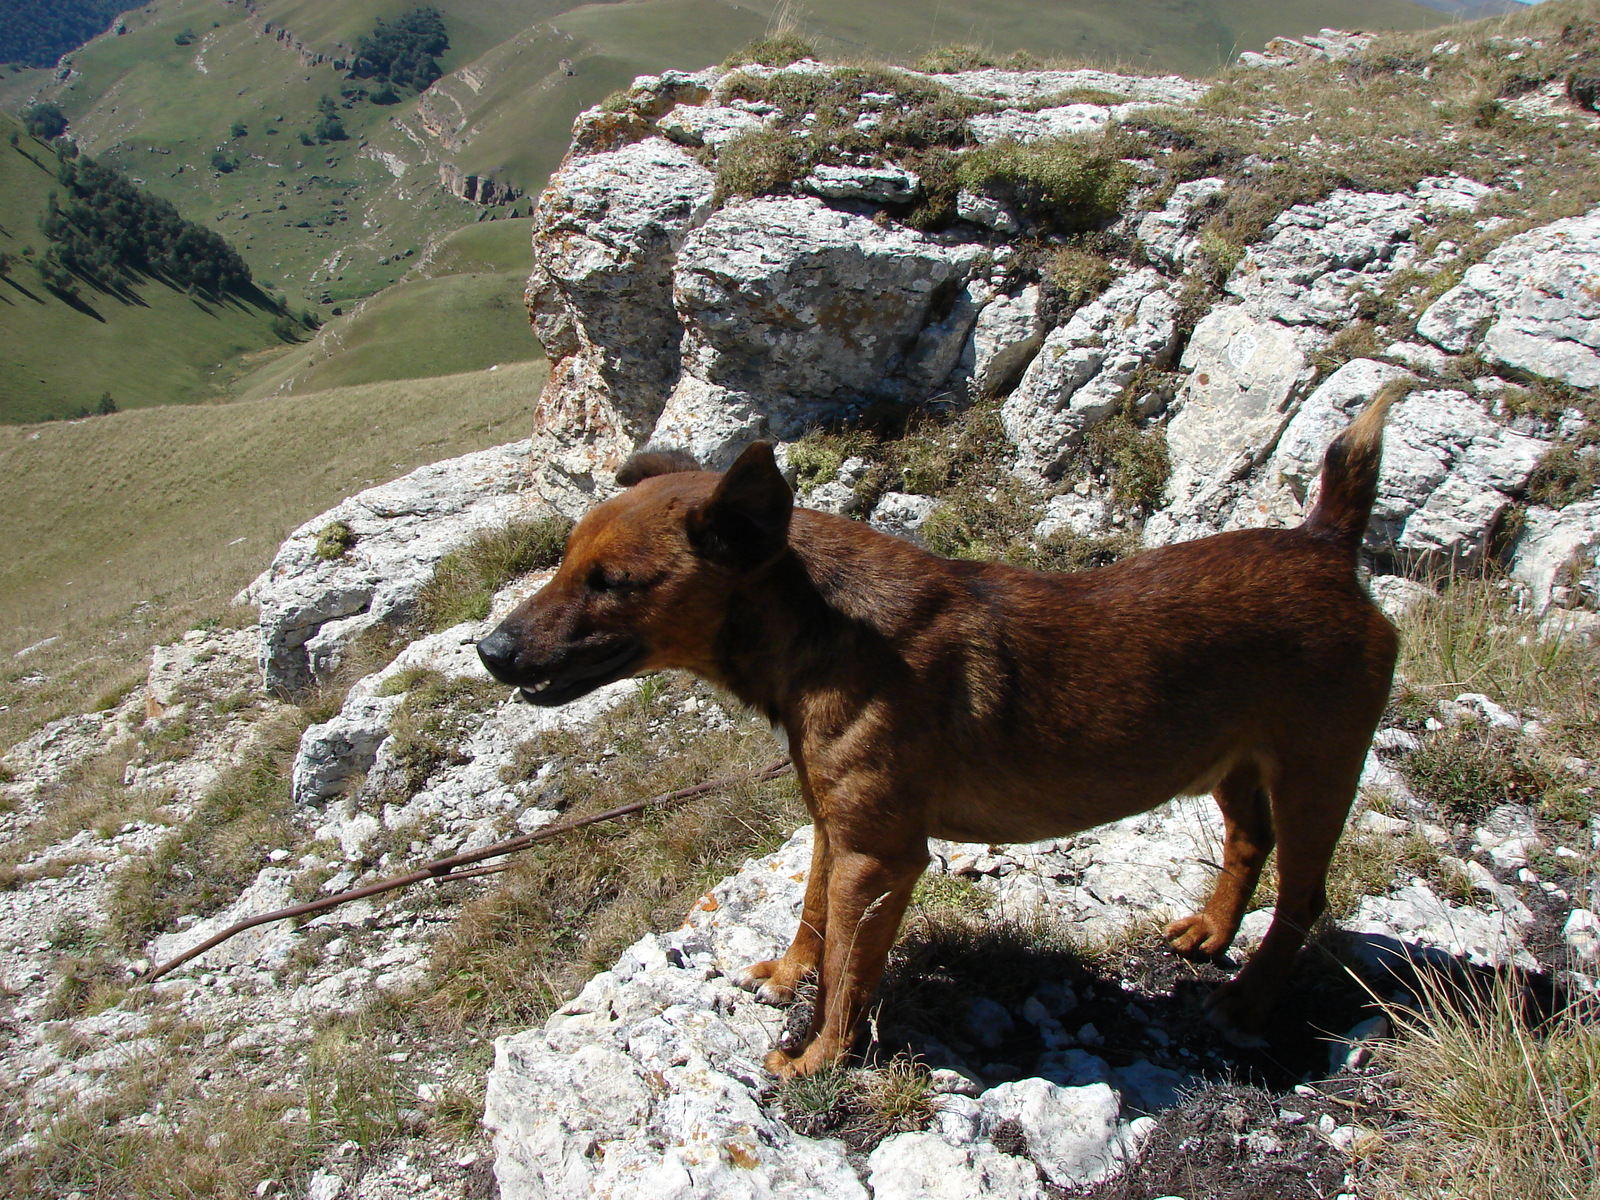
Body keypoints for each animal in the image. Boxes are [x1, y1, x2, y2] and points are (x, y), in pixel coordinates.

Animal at [476, 392, 1401, 1081]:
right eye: (565, 562)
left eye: (612, 583)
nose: (490, 651)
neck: (821, 628)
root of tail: (1326, 542)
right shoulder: (836, 831)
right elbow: (814, 919)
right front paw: (788, 975)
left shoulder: (880, 856)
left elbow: (850, 973)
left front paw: (819, 1057)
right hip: (1232, 764)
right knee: (1248, 843)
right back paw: (1212, 934)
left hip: (1319, 775)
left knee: (1303, 896)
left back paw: (1247, 1000)